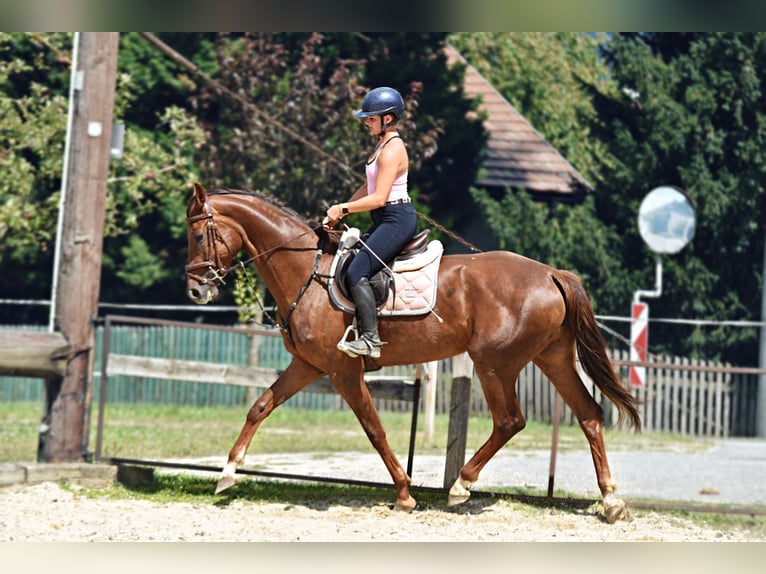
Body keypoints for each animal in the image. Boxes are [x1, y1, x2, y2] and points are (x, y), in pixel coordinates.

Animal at [184, 184, 640, 528]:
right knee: (588, 416)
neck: (308, 275)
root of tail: (550, 273)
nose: (195, 290)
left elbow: (375, 429)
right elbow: (260, 406)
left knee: (511, 420)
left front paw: (404, 493)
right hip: (552, 357)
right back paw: (611, 501)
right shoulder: (308, 365)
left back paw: (460, 486)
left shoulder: (343, 371)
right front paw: (227, 474)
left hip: (495, 362)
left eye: (197, 235)